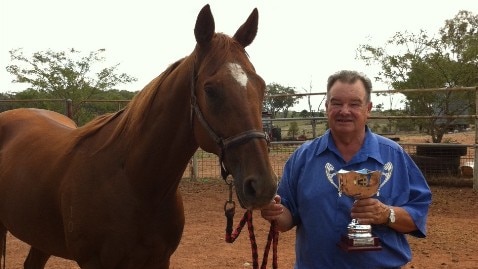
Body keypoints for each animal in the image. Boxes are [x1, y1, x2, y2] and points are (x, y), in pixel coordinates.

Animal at [0, 4, 276, 268]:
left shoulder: (160, 260)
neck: (135, 183)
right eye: (210, 89)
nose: (263, 186)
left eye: (261, 85)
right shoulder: (95, 262)